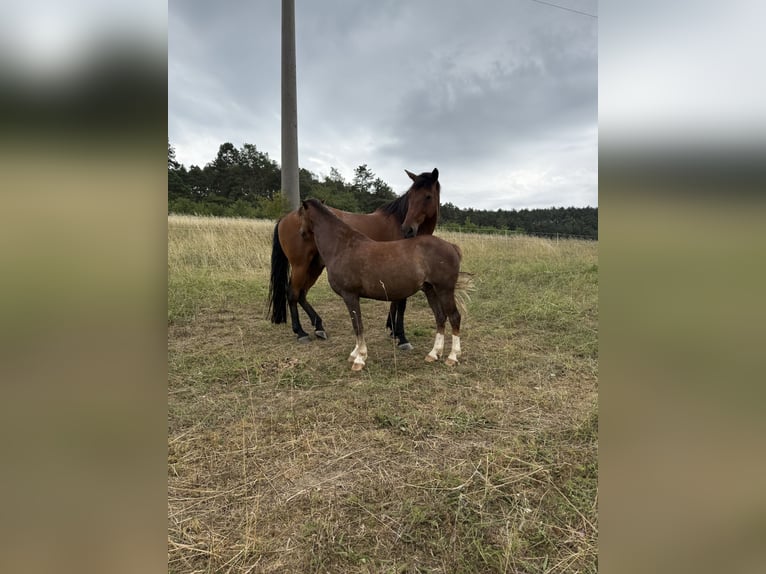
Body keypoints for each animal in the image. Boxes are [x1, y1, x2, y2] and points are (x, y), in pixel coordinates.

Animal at [268, 168, 441, 349]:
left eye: (428, 196)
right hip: (300, 266)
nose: (407, 229)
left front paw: (392, 329)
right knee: (293, 293)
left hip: (314, 267)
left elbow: (396, 301)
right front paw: (401, 336)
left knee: (302, 294)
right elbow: (401, 302)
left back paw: (319, 327)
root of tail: (285, 218)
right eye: (411, 196)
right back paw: (300, 332)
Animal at [297, 198, 468, 371]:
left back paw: (452, 357)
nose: (301, 233)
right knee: (440, 317)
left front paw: (360, 358)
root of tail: (451, 246)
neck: (342, 246)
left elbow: (357, 325)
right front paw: (355, 353)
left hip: (444, 290)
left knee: (454, 317)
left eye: (300, 213)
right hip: (430, 290)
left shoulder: (350, 295)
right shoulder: (351, 297)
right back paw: (433, 354)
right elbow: (356, 323)